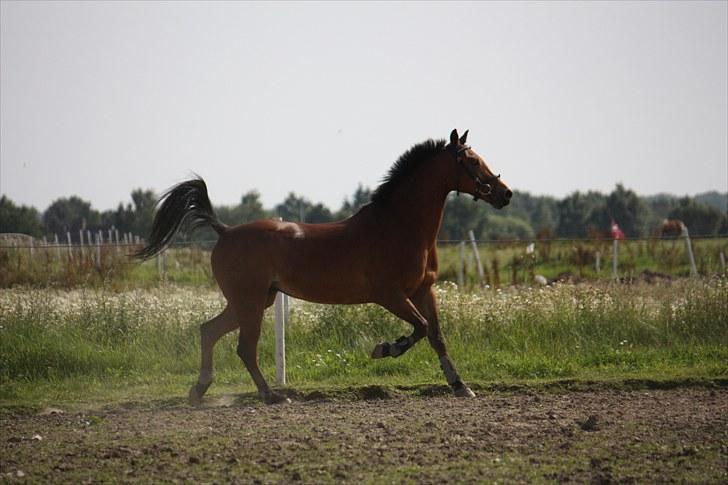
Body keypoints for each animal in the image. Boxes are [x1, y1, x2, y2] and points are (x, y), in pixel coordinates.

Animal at [135, 130, 512, 404]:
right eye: (472, 161)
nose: (505, 193)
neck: (399, 227)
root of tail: (224, 230)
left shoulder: (423, 291)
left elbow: (436, 335)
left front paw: (460, 386)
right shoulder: (389, 295)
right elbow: (418, 328)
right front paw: (383, 349)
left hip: (253, 302)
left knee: (209, 331)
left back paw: (199, 391)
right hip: (251, 303)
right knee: (244, 347)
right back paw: (270, 396)